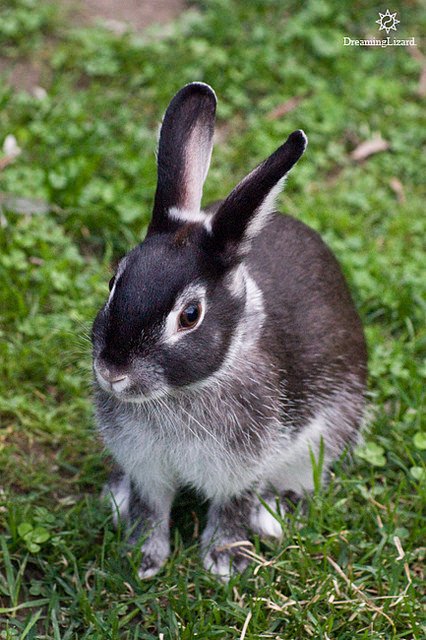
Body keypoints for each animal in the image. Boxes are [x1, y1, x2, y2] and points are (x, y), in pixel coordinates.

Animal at [91, 81, 368, 580]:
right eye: (113, 282)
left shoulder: (243, 467)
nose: (112, 373)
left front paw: (224, 560)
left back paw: (274, 516)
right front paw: (142, 557)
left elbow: (233, 505)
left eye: (190, 315)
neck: (183, 392)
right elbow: (149, 506)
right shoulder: (146, 466)